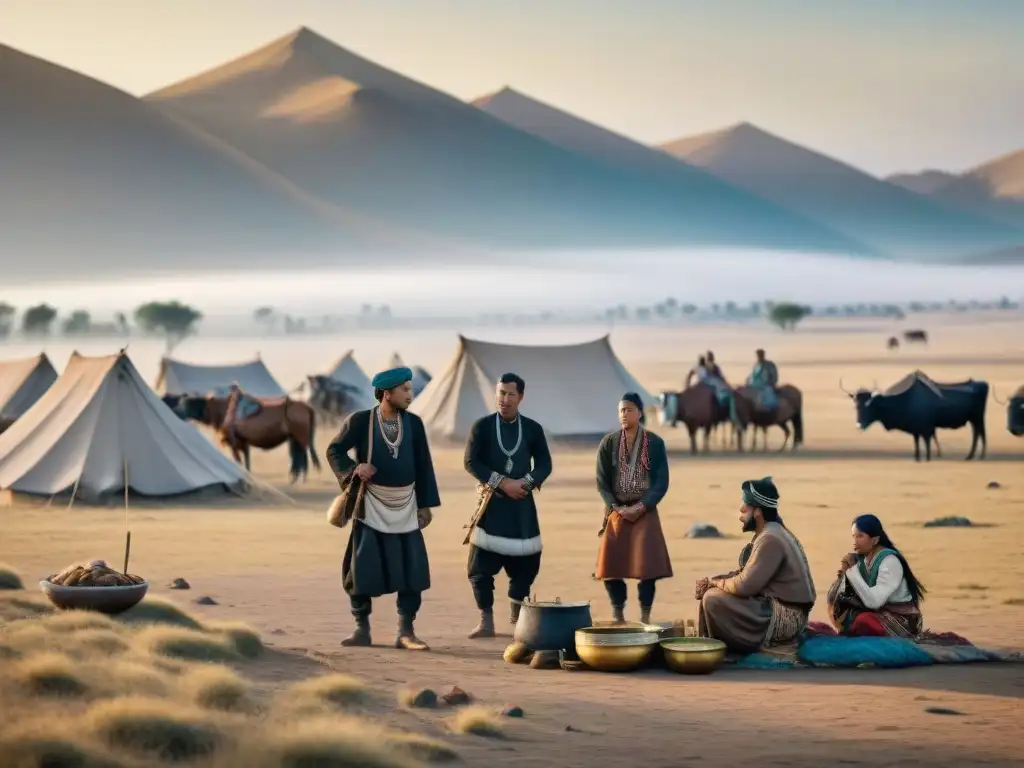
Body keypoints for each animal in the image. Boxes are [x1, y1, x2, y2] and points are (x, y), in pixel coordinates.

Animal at [169, 393, 319, 483]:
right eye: (180, 402)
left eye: (186, 404)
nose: (174, 411)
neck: (221, 411)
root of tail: (307, 407)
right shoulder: (243, 441)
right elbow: (246, 462)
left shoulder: (233, 442)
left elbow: (239, 461)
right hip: (294, 438)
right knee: (299, 457)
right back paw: (296, 479)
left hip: (300, 436)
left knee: (302, 457)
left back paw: (299, 480)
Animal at [843, 372, 987, 462]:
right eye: (856, 406)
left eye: (869, 405)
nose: (859, 425)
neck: (906, 400)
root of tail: (983, 384)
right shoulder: (916, 431)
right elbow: (917, 446)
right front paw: (917, 458)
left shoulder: (926, 430)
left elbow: (927, 447)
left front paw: (928, 459)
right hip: (973, 419)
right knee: (977, 433)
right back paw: (971, 456)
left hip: (978, 418)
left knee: (981, 433)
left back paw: (979, 456)